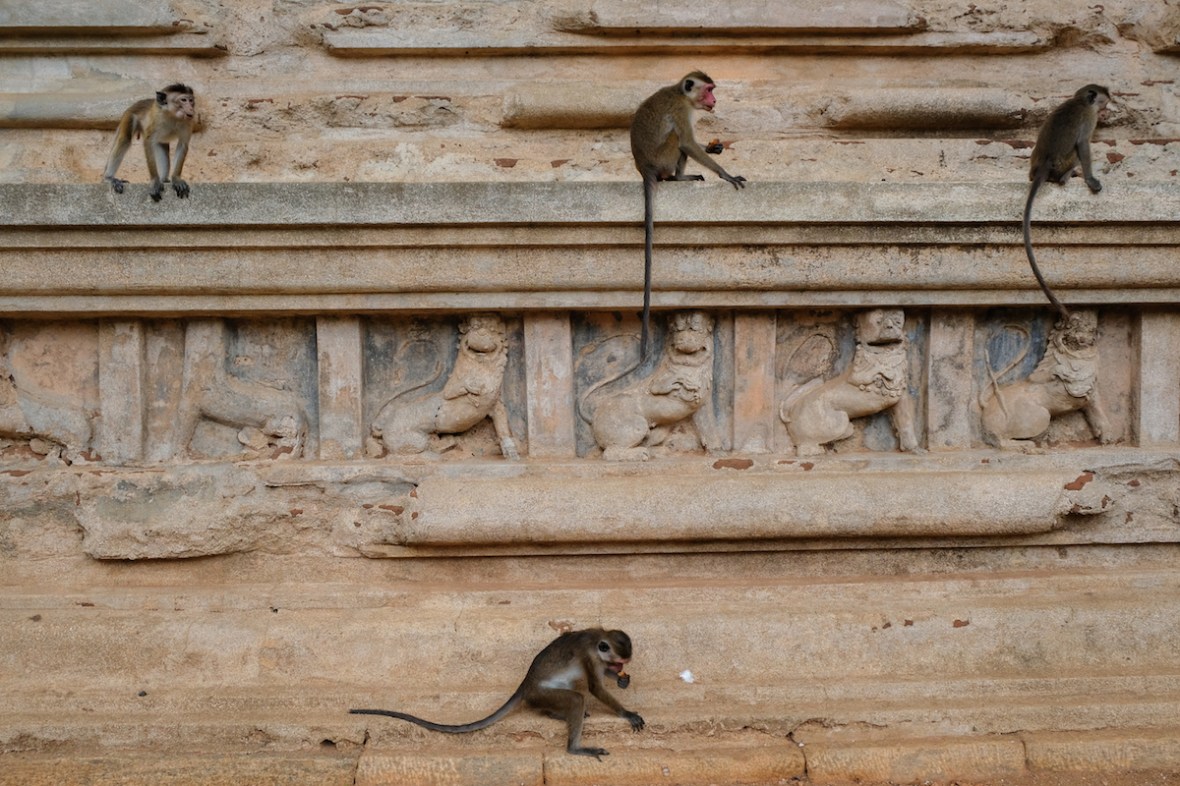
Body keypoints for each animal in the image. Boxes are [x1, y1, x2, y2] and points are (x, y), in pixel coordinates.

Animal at [350, 627, 644, 759]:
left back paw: (555, 715)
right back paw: (574, 746)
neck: (597, 639)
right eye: (619, 660)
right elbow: (595, 687)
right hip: (542, 692)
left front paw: (621, 681)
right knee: (576, 697)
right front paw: (627, 712)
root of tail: (525, 685)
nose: (620, 668)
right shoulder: (588, 656)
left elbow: (599, 680)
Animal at [631, 71, 745, 359]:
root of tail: (644, 168)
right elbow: (688, 143)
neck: (681, 94)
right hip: (664, 158)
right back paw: (678, 177)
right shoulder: (681, 111)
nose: (714, 100)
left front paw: (714, 147)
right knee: (677, 141)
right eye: (709, 89)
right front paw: (725, 174)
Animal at [1022, 84, 1111, 319]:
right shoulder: (1089, 118)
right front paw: (1090, 179)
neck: (1080, 101)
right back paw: (1069, 175)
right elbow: (1084, 145)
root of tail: (1044, 166)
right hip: (1065, 161)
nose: (1106, 113)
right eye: (1104, 104)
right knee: (1077, 154)